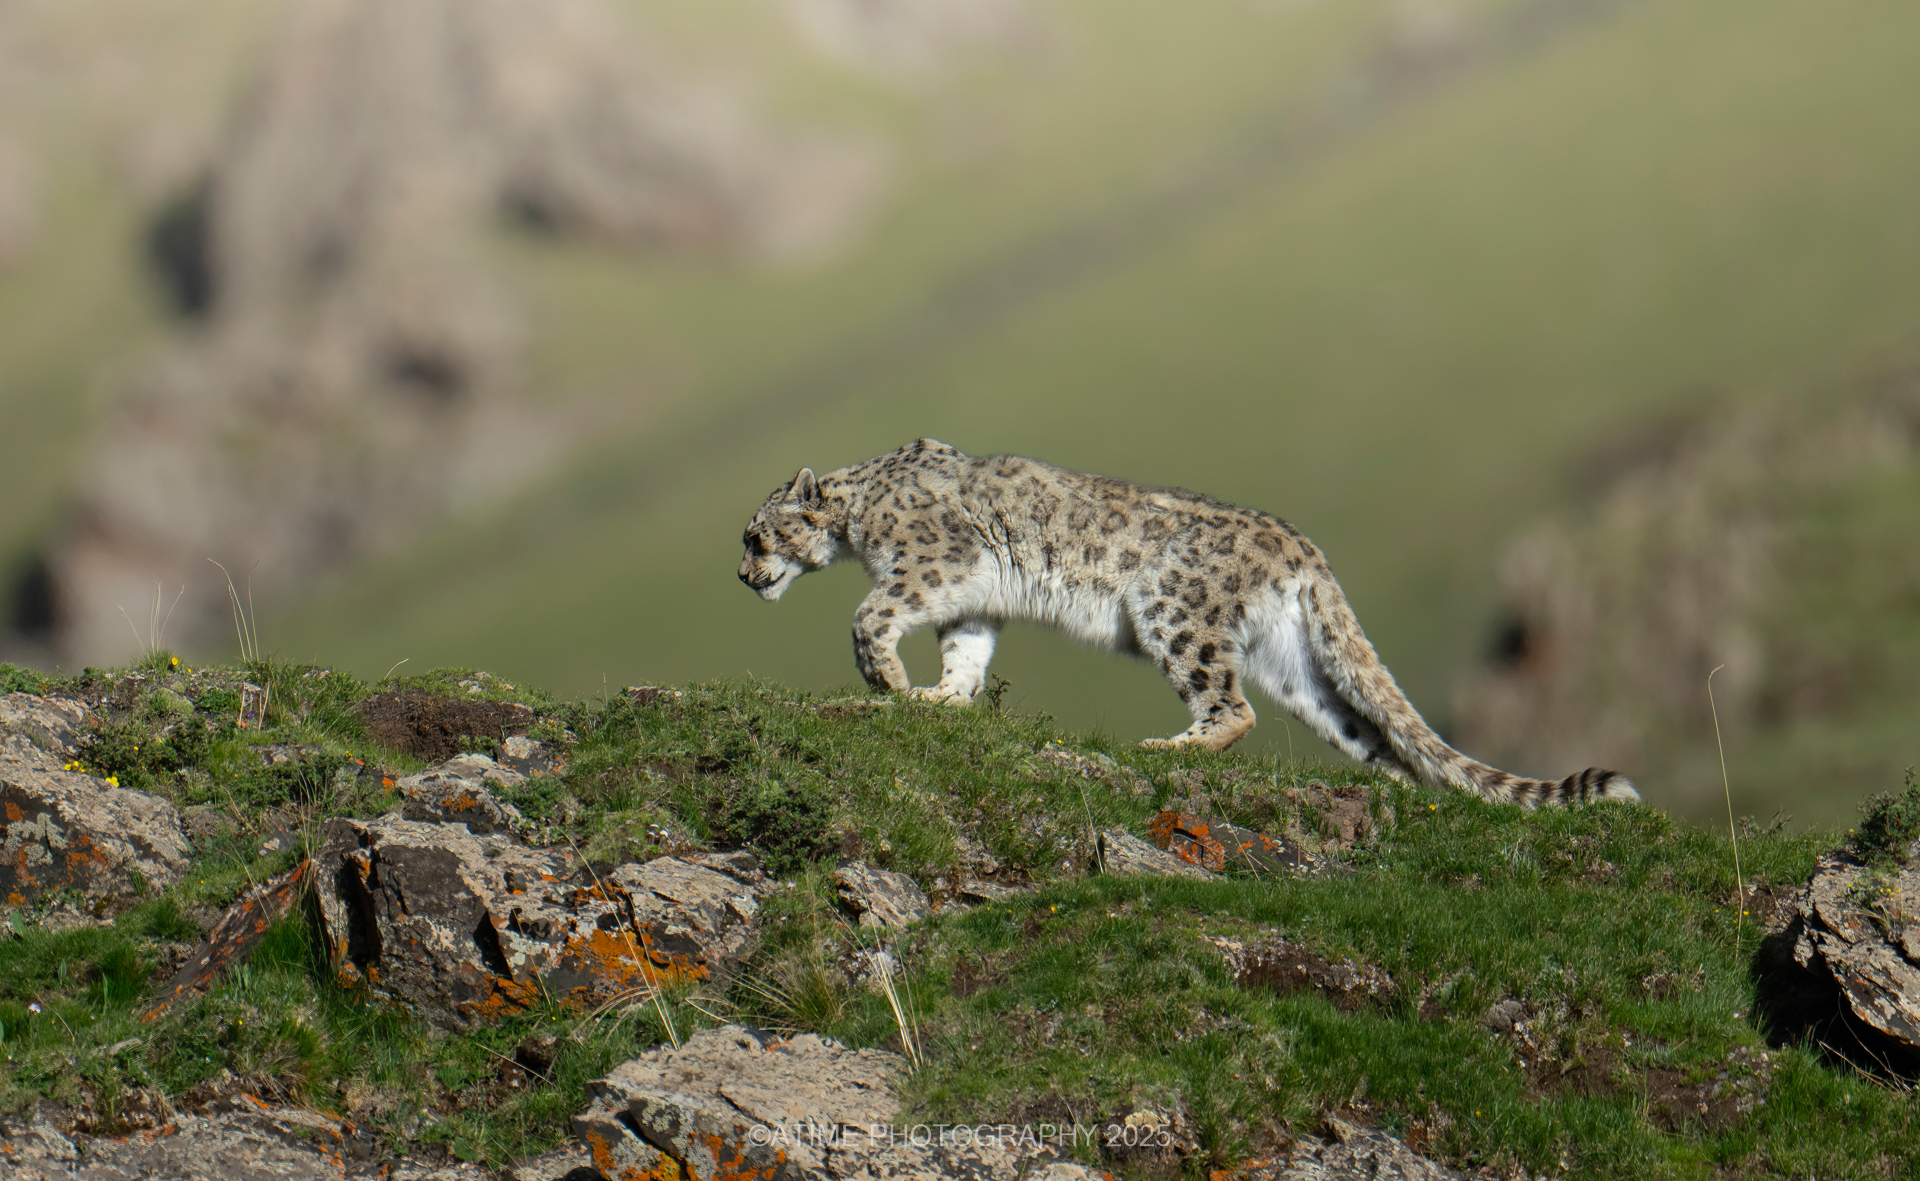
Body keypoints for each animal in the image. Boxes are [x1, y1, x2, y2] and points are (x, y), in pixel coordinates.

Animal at [737, 438, 1637, 807]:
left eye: (755, 534)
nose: (742, 578)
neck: (858, 521)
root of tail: (1299, 542)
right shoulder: (975, 599)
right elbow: (965, 650)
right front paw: (940, 697)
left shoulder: (931, 564)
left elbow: (870, 612)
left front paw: (886, 677)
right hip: (1293, 665)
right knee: (1365, 727)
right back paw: (1395, 784)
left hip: (1172, 612)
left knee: (1229, 706)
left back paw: (1169, 747)